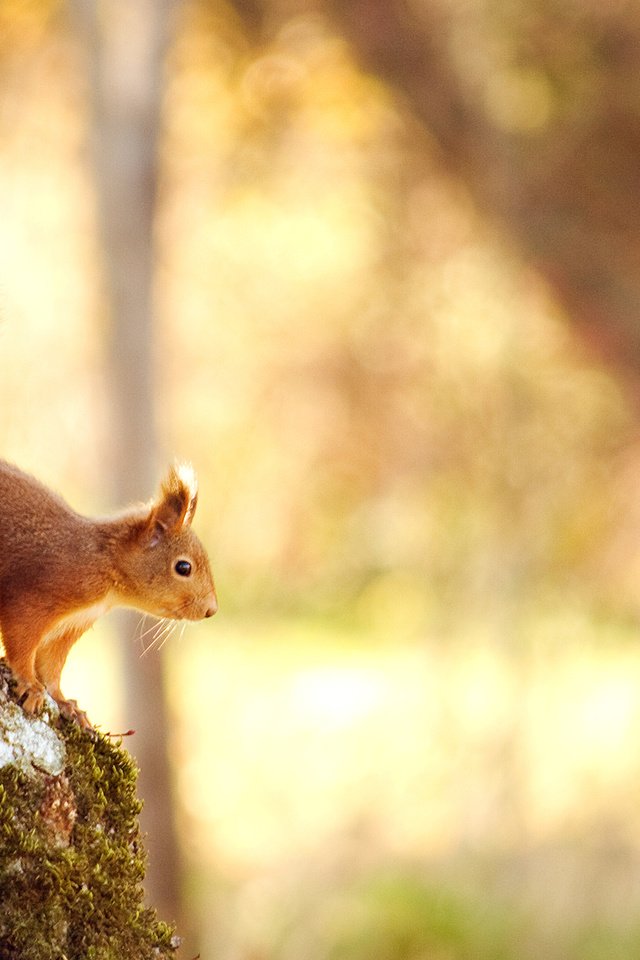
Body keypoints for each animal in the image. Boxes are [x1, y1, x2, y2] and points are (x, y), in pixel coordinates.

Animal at [0, 458, 216, 728]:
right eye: (183, 567)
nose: (211, 609)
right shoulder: (31, 600)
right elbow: (21, 647)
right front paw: (31, 685)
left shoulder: (68, 628)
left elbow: (51, 668)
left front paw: (65, 702)